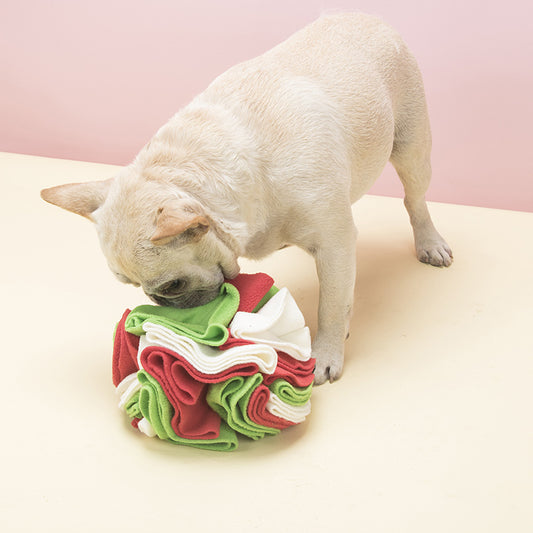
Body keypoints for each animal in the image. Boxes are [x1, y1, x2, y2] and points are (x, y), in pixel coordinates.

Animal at [39, 13, 450, 382]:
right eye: (130, 286)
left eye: (172, 286)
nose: (158, 304)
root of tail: (368, 17)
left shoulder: (335, 245)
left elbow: (333, 305)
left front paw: (326, 354)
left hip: (412, 148)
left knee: (415, 200)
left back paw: (430, 242)